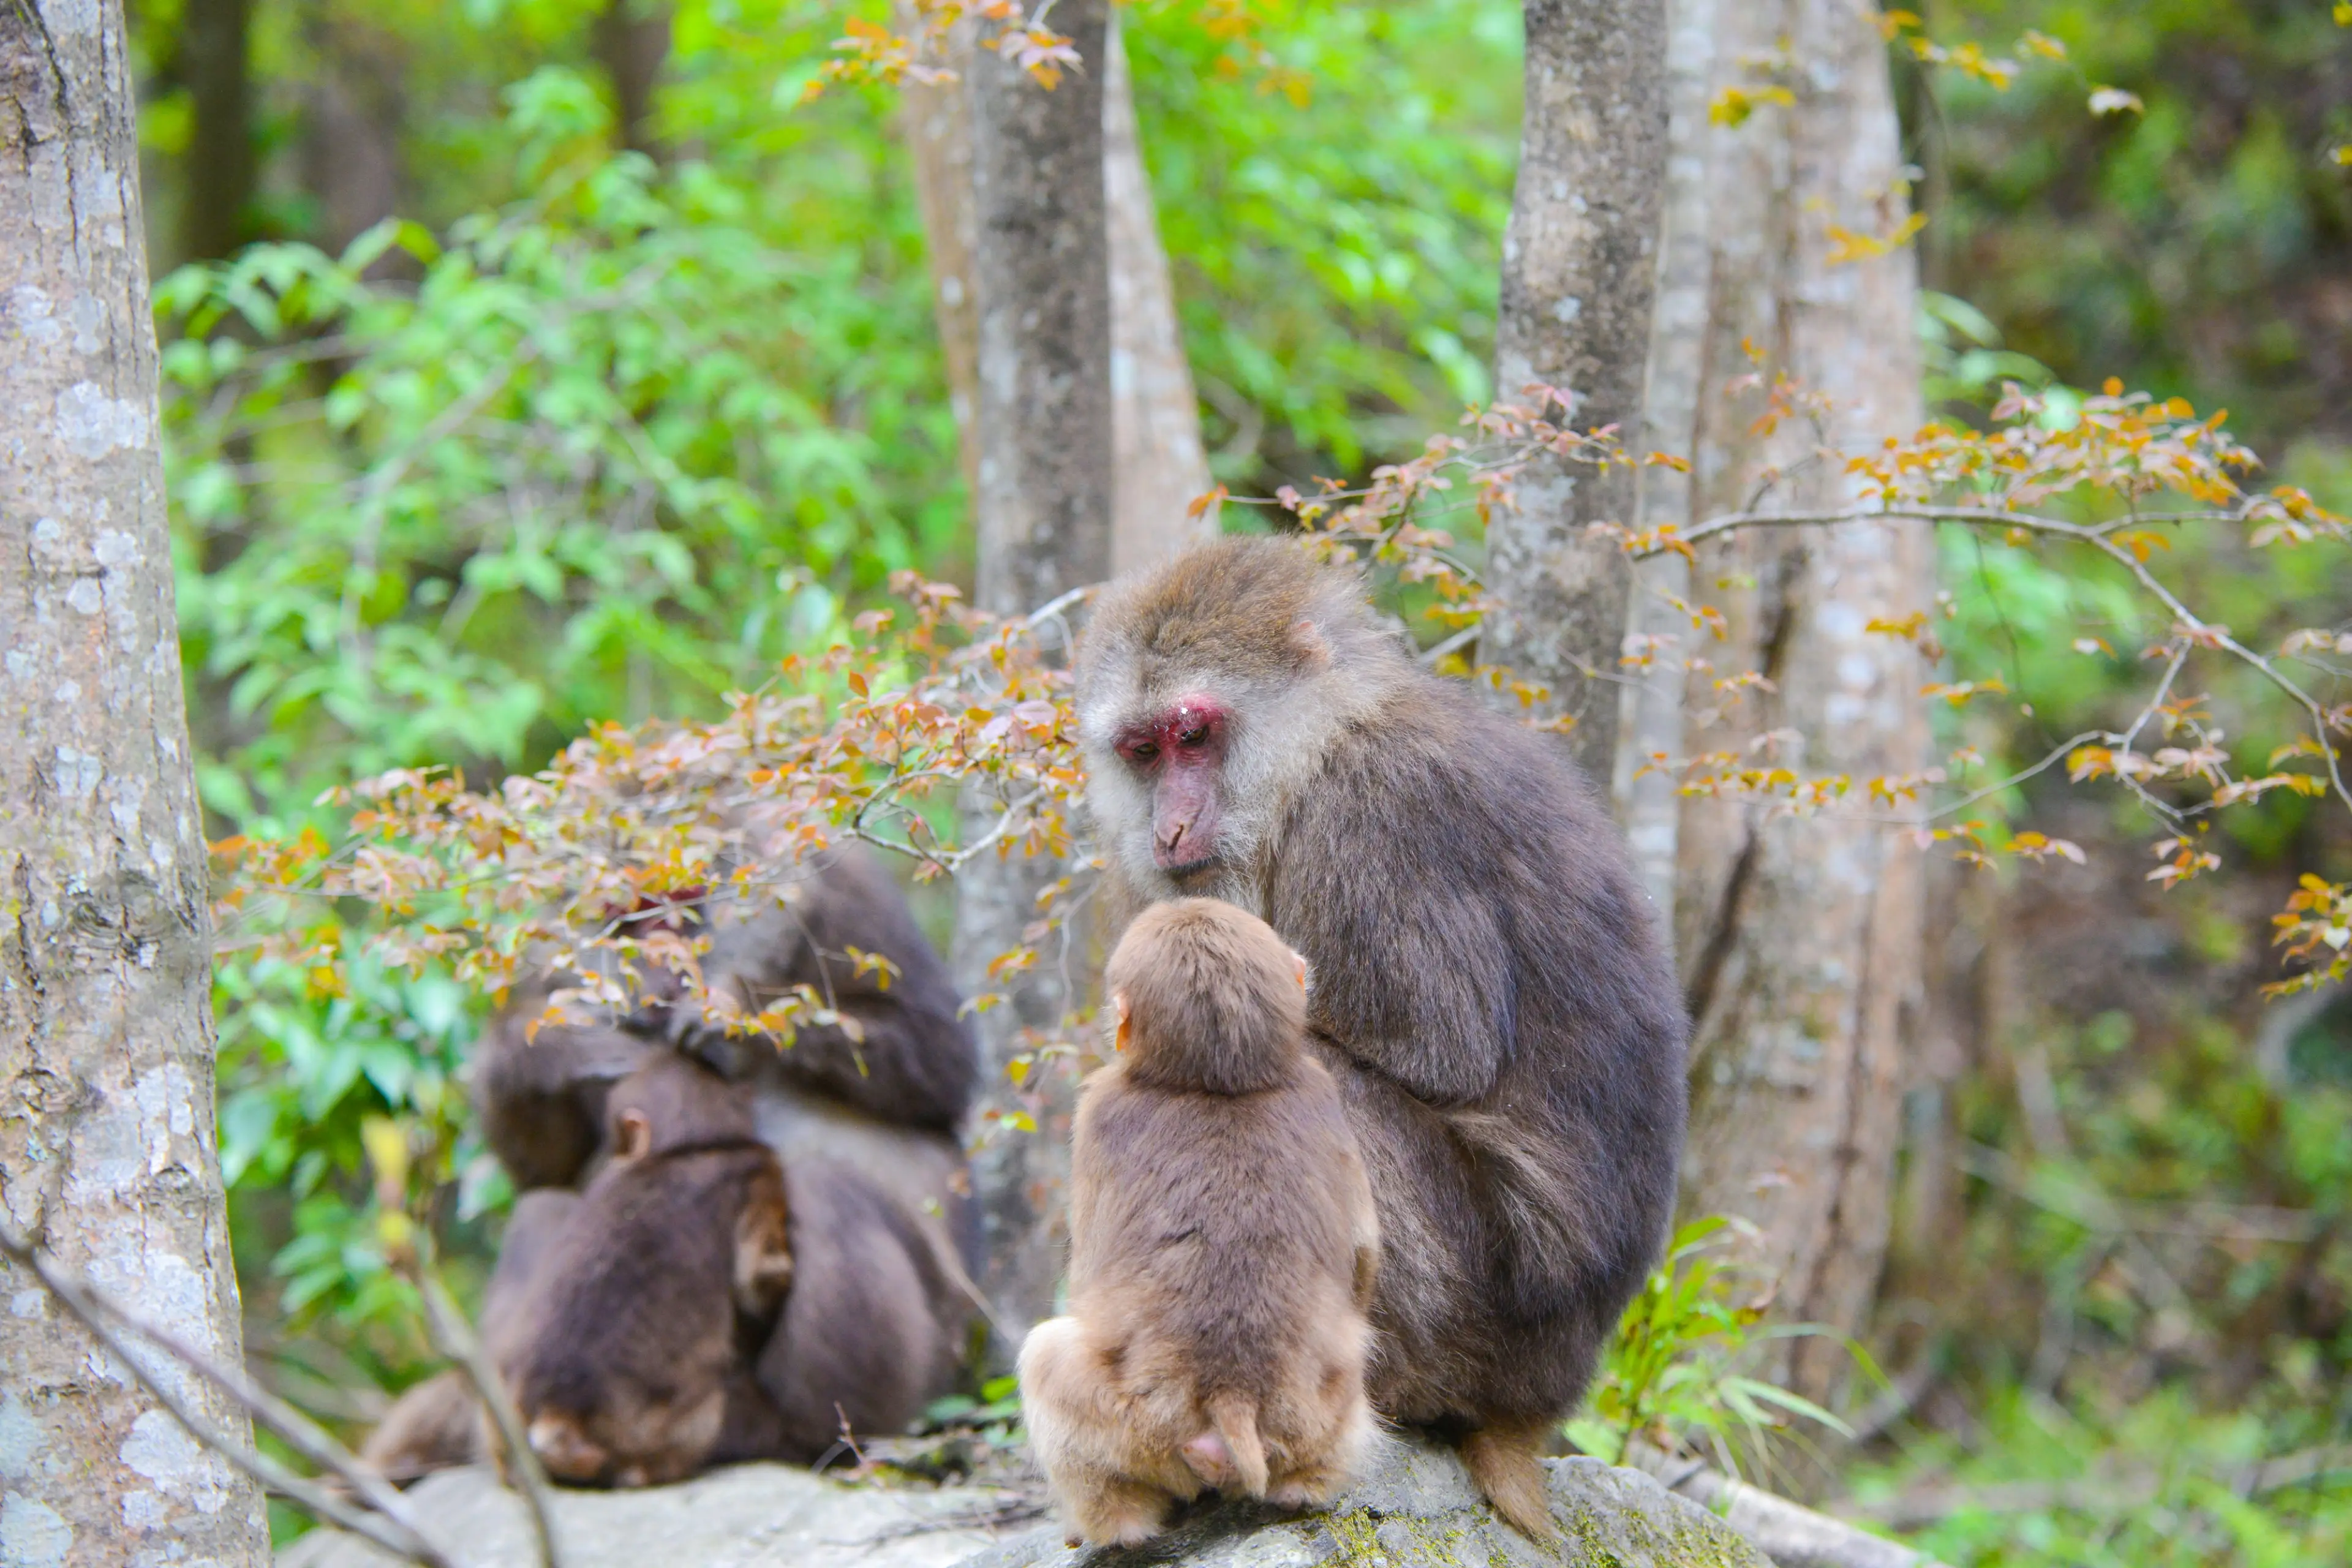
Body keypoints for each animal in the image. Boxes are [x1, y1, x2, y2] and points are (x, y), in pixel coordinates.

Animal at [1018, 898, 1380, 1548]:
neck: (1221, 1086)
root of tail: (1232, 1400)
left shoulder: (1098, 1109)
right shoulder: (1322, 1092)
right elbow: (1365, 1258)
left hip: (1133, 1427)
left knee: (1044, 1355)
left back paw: (1115, 1528)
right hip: (1322, 1416)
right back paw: (1301, 1495)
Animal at [1073, 536, 1689, 1541]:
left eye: (1195, 735)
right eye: (1142, 749)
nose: (1169, 825)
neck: (1323, 744)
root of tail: (1543, 1394)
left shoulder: (1373, 817)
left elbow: (1432, 1049)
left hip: (1474, 1316)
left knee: (1306, 1089)